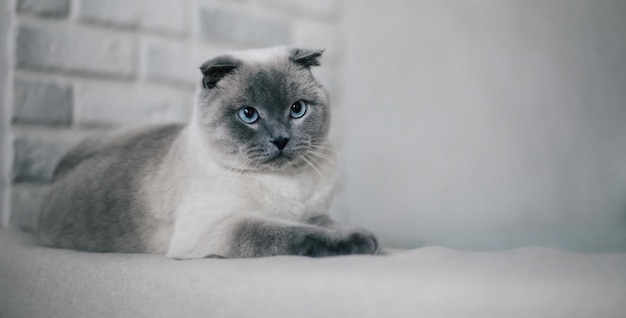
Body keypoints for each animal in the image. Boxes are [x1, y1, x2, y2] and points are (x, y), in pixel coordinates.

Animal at [36, 47, 378, 260]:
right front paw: (358, 243)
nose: (281, 139)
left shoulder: (313, 214)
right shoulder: (219, 227)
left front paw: (370, 239)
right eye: (249, 115)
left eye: (297, 109)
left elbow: (323, 225)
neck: (285, 184)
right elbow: (292, 235)